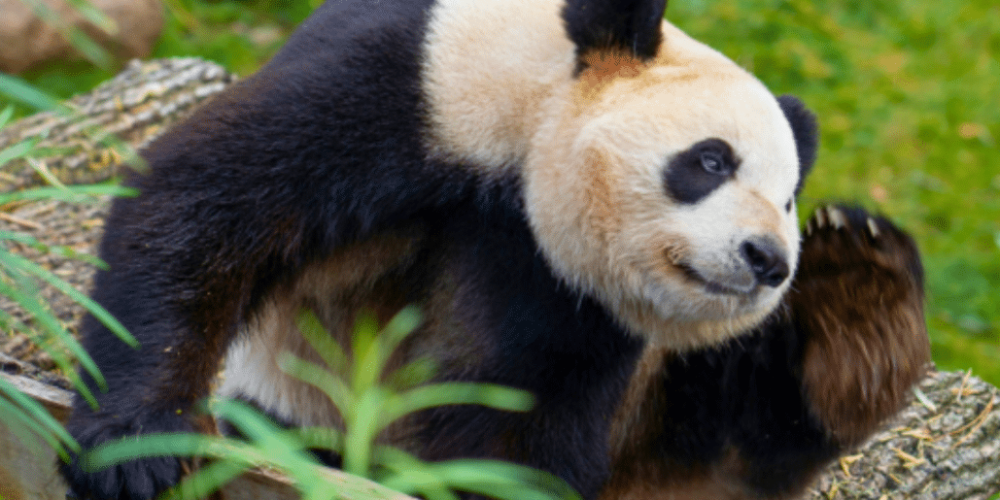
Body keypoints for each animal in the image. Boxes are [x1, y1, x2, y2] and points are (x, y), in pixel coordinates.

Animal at [59, 0, 930, 499]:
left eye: (787, 198)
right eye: (711, 160)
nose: (767, 259)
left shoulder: (578, 301)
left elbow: (518, 414)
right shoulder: (417, 88)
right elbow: (207, 200)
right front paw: (136, 450)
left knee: (747, 422)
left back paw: (860, 287)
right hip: (288, 399)